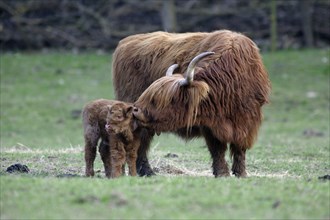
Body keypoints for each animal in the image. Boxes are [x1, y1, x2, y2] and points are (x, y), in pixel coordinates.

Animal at [113, 30, 270, 177]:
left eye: (168, 99)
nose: (136, 110)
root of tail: (125, 42)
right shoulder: (209, 124)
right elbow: (217, 148)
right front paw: (222, 173)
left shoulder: (248, 121)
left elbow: (239, 148)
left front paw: (240, 173)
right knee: (140, 143)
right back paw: (147, 171)